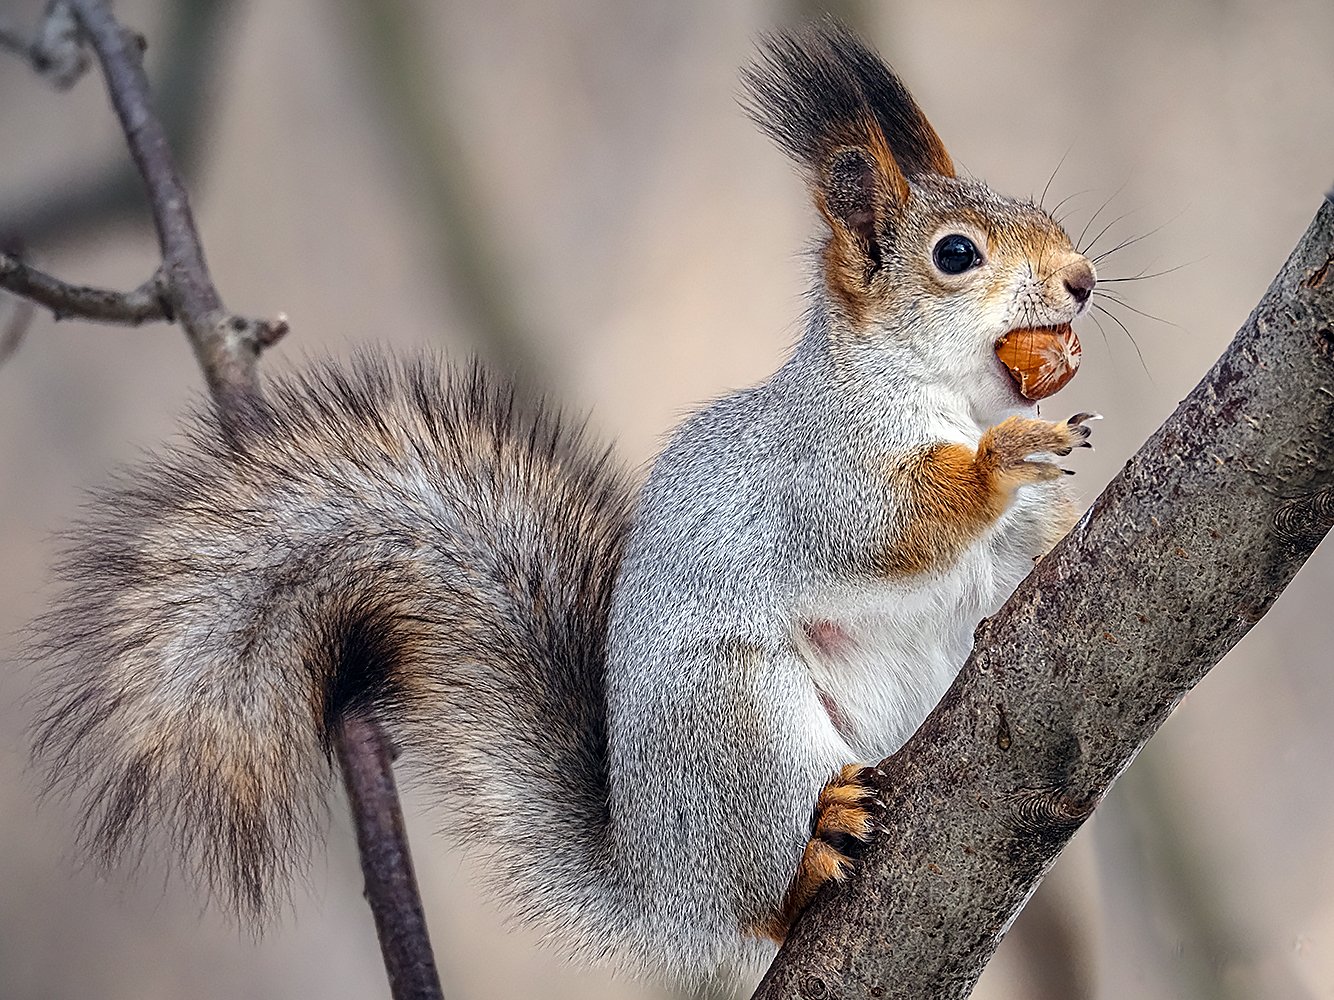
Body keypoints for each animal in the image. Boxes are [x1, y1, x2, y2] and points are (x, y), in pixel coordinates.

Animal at [31, 19, 1099, 997]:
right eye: (955, 255)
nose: (1084, 280)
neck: (947, 393)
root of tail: (657, 892)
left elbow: (1014, 564)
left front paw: (1058, 503)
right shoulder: (819, 466)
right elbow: (889, 525)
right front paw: (1006, 458)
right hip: (736, 731)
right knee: (760, 896)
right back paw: (810, 854)